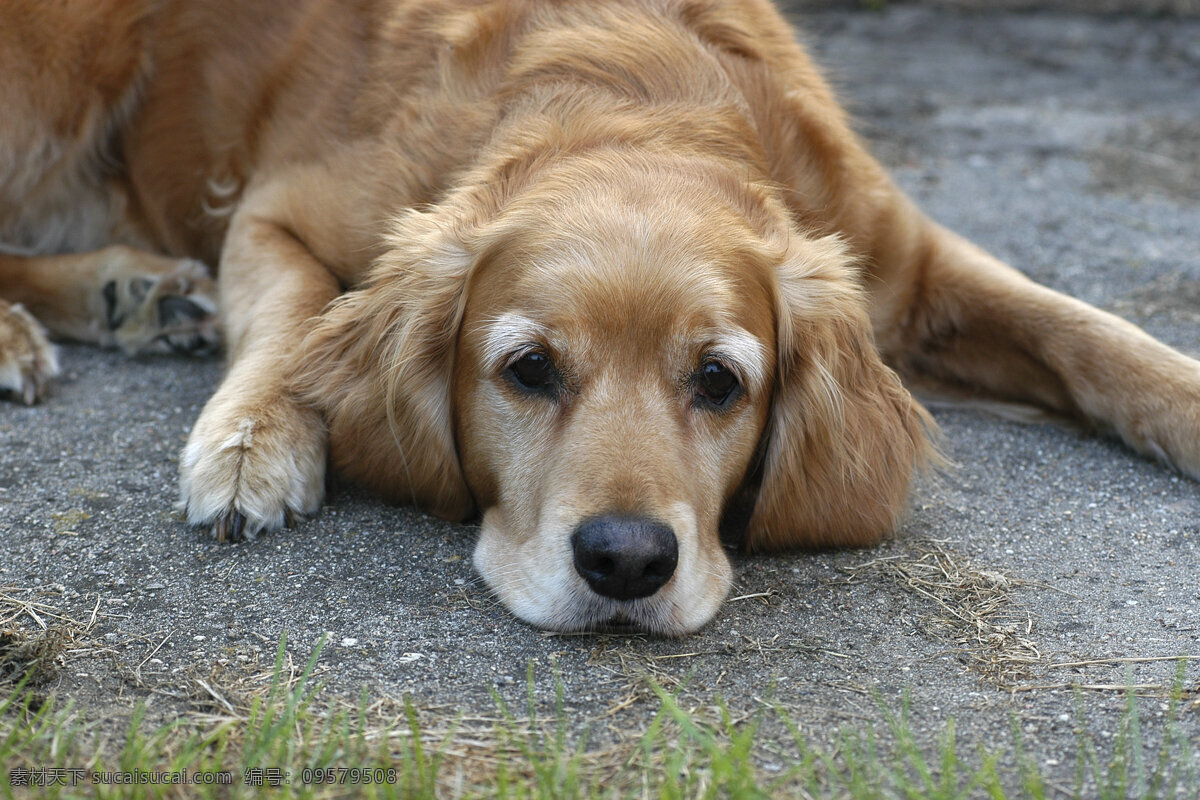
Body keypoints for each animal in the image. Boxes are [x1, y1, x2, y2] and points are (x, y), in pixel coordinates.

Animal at [7, 1, 1200, 638]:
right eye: (528, 369)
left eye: (720, 380)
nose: (625, 562)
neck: (641, 98)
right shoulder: (273, 205)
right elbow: (297, 317)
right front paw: (256, 440)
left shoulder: (903, 259)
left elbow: (1090, 334)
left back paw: (136, 293)